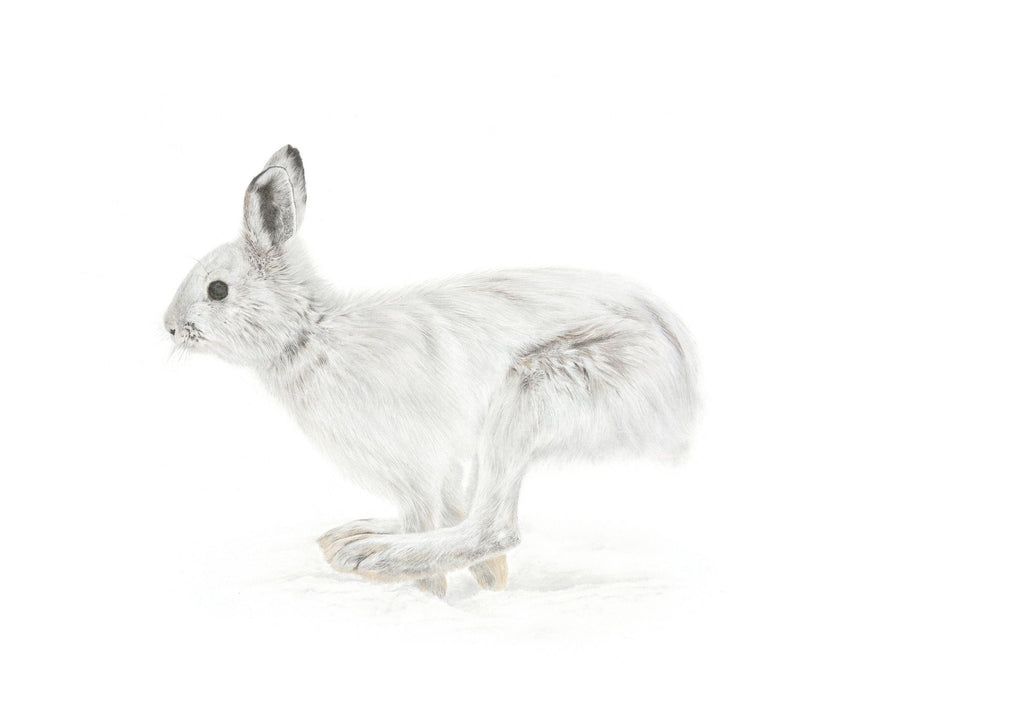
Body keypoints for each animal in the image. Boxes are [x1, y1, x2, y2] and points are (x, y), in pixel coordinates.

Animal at [164, 145, 701, 598]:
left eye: (217, 290)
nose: (168, 327)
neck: (309, 334)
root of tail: (686, 403)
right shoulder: (438, 471)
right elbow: (443, 511)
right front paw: (486, 581)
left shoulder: (414, 464)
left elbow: (428, 519)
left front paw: (430, 595)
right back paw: (353, 538)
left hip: (535, 389)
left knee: (495, 527)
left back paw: (369, 557)